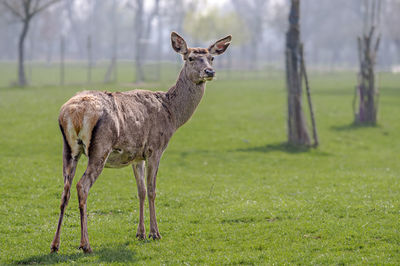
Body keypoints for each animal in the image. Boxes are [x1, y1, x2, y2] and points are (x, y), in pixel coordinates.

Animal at [50, 32, 231, 252]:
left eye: (211, 58)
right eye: (190, 58)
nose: (209, 71)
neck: (172, 115)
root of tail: (73, 113)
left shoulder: (137, 156)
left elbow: (141, 191)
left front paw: (140, 233)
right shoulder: (156, 148)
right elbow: (152, 190)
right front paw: (155, 233)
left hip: (68, 149)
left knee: (65, 190)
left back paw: (55, 244)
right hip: (100, 148)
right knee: (81, 186)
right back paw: (85, 245)